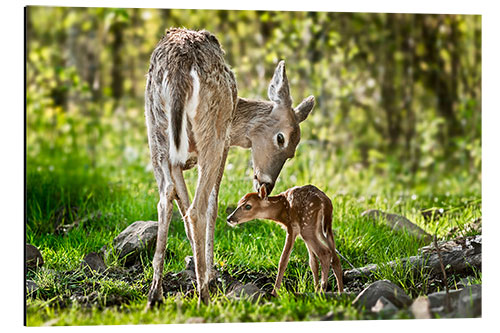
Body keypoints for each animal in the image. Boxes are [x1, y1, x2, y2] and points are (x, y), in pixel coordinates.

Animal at [144, 29, 312, 306]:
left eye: (292, 153)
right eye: (282, 139)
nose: (266, 184)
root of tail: (179, 70)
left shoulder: (177, 162)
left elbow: (180, 203)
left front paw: (197, 266)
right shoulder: (224, 145)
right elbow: (212, 205)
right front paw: (210, 275)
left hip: (156, 133)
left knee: (165, 198)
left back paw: (155, 293)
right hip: (211, 133)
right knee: (198, 209)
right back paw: (204, 296)